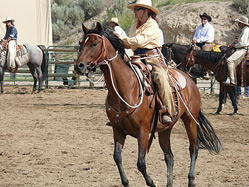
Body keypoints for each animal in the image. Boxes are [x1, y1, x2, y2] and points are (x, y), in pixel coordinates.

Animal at [74, 22, 222, 187]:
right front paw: (126, 182)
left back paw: (191, 180)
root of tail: (189, 79)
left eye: (94, 43)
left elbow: (141, 162)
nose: (79, 66)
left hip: (190, 119)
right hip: (165, 128)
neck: (127, 88)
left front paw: (152, 182)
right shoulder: (118, 130)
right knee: (169, 155)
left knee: (193, 148)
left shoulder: (143, 132)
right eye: (81, 43)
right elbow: (117, 157)